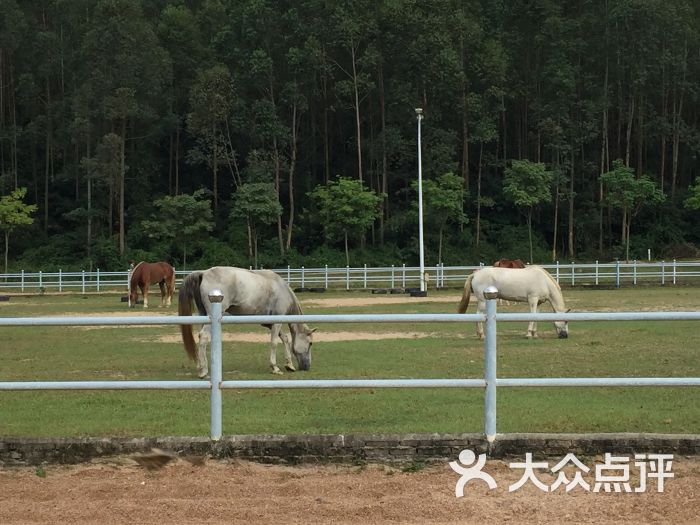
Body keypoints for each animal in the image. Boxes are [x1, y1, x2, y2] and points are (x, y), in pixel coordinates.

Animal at [178, 266, 318, 376]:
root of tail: (204, 273)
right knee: (203, 336)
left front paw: (289, 365)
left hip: (204, 315)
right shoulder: (277, 321)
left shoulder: (269, 324)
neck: (281, 288)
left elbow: (285, 339)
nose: (307, 366)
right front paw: (275, 367)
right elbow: (274, 342)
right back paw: (203, 371)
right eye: (310, 343)